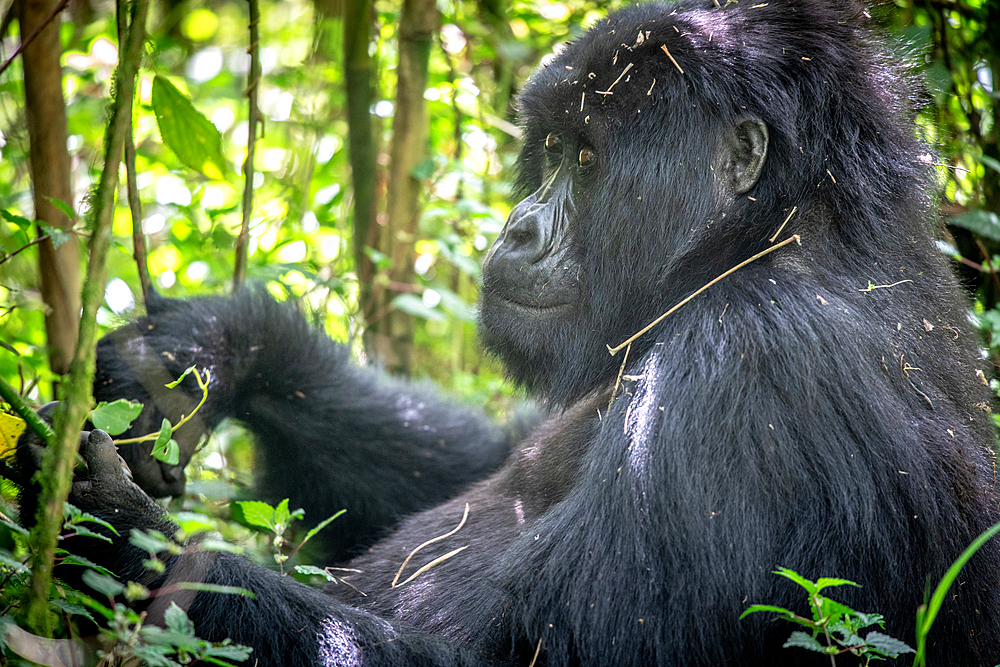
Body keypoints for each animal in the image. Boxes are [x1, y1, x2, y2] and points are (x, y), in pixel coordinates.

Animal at [11, 1, 1000, 667]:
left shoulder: (754, 365)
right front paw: (205, 347)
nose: (517, 228)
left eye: (587, 158)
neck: (778, 233)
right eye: (551, 149)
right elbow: (478, 457)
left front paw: (116, 541)